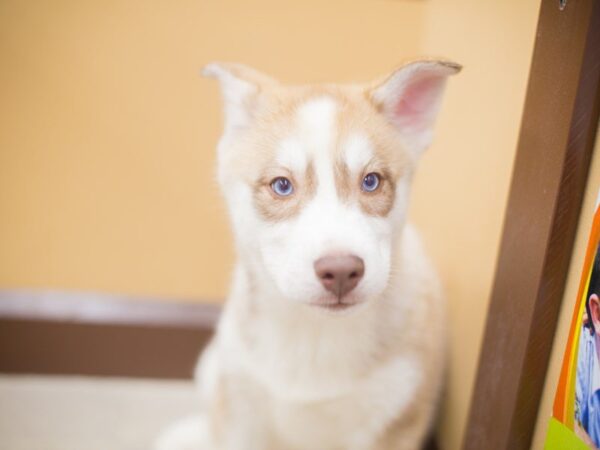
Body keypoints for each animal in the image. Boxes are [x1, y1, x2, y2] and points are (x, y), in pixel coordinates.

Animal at [157, 60, 462, 450]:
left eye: (372, 181)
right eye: (282, 185)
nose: (342, 271)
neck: (315, 334)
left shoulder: (395, 421)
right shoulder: (242, 409)